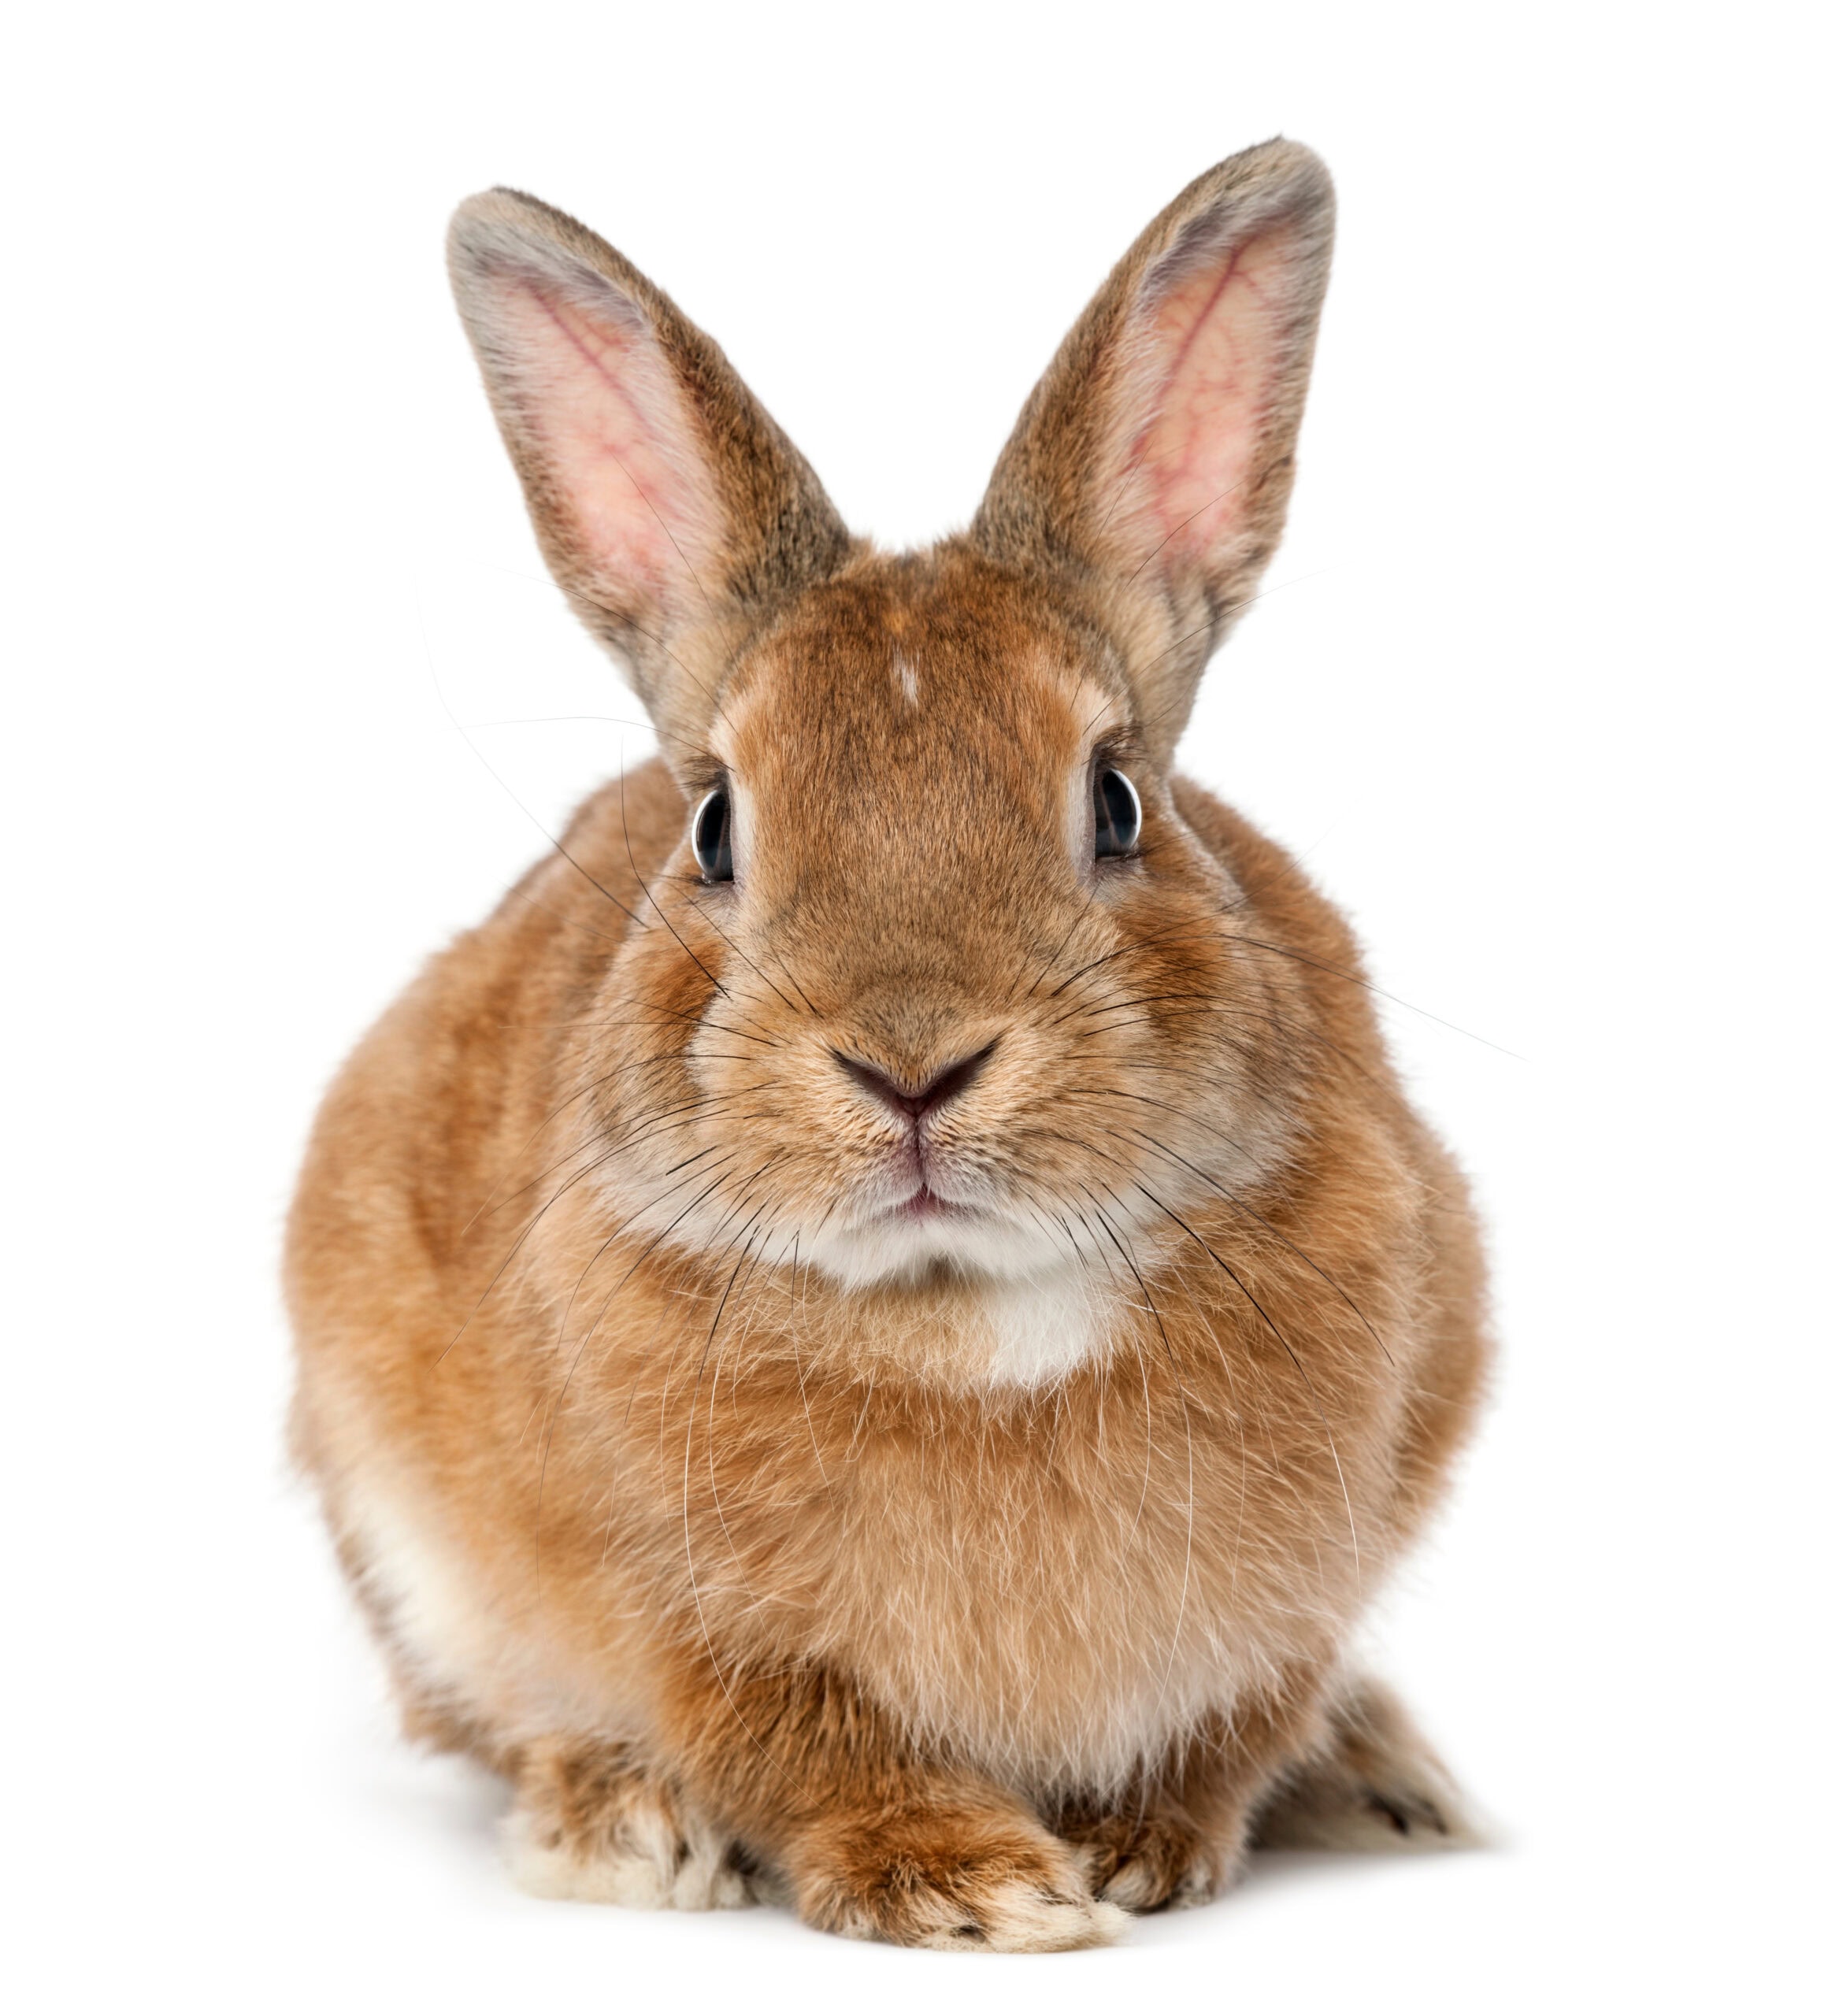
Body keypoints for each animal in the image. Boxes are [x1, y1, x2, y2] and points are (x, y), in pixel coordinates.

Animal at [286, 135, 1491, 1952]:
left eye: (1118, 800)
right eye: (715, 826)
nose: (911, 1065)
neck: (969, 1315)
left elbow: (1231, 1726)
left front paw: (1141, 1848)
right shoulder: (694, 1626)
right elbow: (803, 1745)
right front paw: (981, 1889)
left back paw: (1389, 1781)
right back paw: (619, 1827)